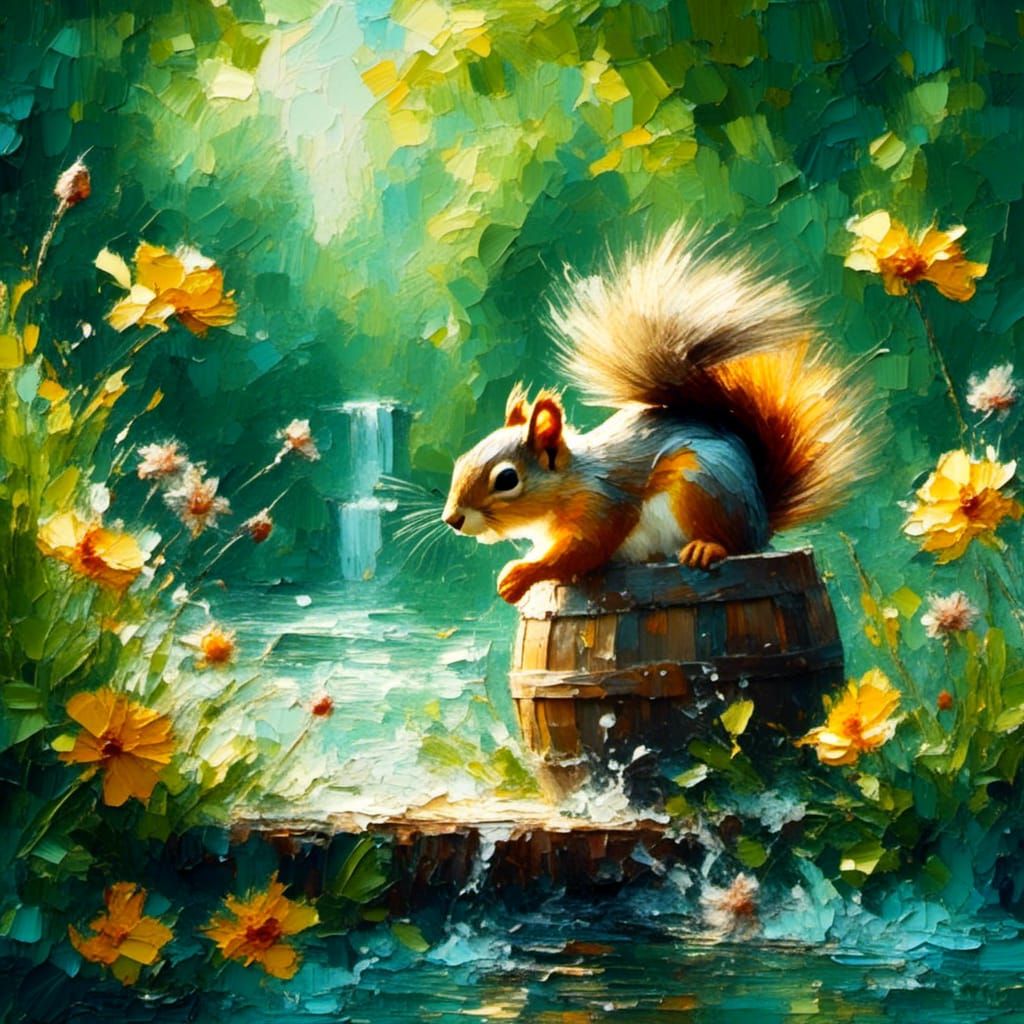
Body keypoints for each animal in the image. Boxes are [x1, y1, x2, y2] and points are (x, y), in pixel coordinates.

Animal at [442, 227, 875, 605]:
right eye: (461, 461)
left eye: (507, 479)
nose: (452, 520)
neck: (569, 483)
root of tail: (762, 518)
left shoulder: (603, 504)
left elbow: (580, 550)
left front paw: (520, 575)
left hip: (704, 488)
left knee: (735, 545)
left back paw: (706, 548)